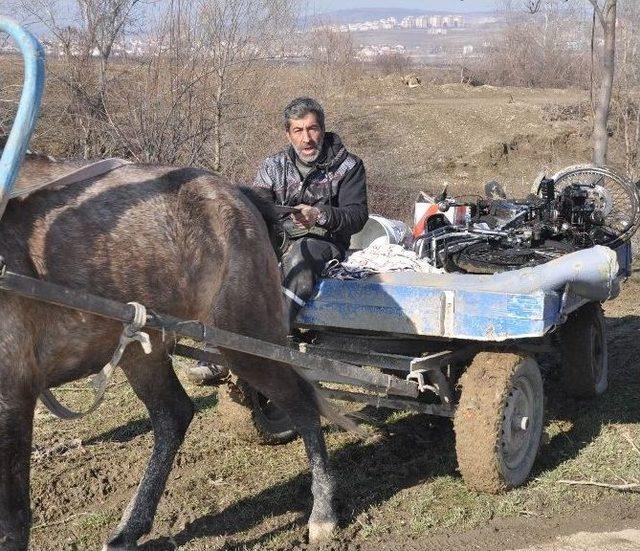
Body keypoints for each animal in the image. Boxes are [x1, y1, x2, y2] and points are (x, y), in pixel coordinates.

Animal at [0, 155, 350, 551]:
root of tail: (238, 193)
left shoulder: (14, 389)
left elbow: (14, 519)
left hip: (247, 334)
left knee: (302, 401)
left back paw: (323, 513)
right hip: (142, 347)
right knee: (174, 414)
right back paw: (129, 529)